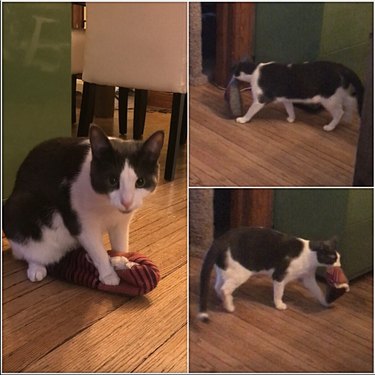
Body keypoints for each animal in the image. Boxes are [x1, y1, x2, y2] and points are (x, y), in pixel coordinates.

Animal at [2, 125, 164, 286]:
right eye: (112, 180)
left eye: (140, 182)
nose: (126, 201)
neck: (108, 207)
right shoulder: (82, 224)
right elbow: (98, 251)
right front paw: (108, 274)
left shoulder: (121, 223)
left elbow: (121, 243)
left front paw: (121, 261)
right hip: (18, 211)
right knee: (29, 250)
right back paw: (36, 267)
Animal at [198, 226, 342, 320]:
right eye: (333, 258)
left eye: (339, 257)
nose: (340, 265)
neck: (309, 256)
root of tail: (221, 239)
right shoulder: (279, 276)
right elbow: (279, 293)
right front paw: (279, 305)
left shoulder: (308, 279)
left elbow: (318, 291)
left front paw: (326, 303)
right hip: (241, 274)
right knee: (224, 289)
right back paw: (229, 307)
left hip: (225, 271)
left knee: (217, 286)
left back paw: (223, 300)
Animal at [232, 61, 364, 131]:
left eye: (235, 70)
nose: (232, 74)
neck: (255, 71)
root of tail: (342, 67)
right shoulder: (286, 99)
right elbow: (290, 109)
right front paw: (291, 118)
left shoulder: (260, 99)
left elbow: (250, 110)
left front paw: (243, 119)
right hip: (341, 94)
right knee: (351, 102)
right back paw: (347, 118)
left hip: (329, 99)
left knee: (339, 112)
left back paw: (330, 126)